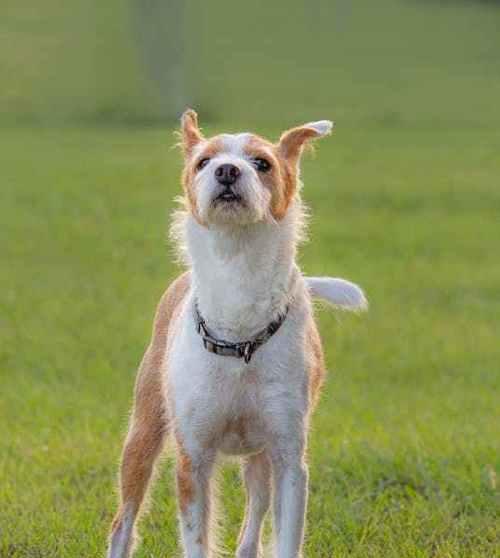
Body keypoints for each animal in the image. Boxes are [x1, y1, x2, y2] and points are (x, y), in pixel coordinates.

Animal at [107, 110, 366, 558]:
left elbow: (285, 537)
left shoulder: (288, 457)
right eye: (203, 162)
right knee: (123, 520)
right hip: (143, 433)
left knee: (254, 515)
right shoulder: (193, 459)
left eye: (262, 163)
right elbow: (196, 539)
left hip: (259, 458)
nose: (227, 170)